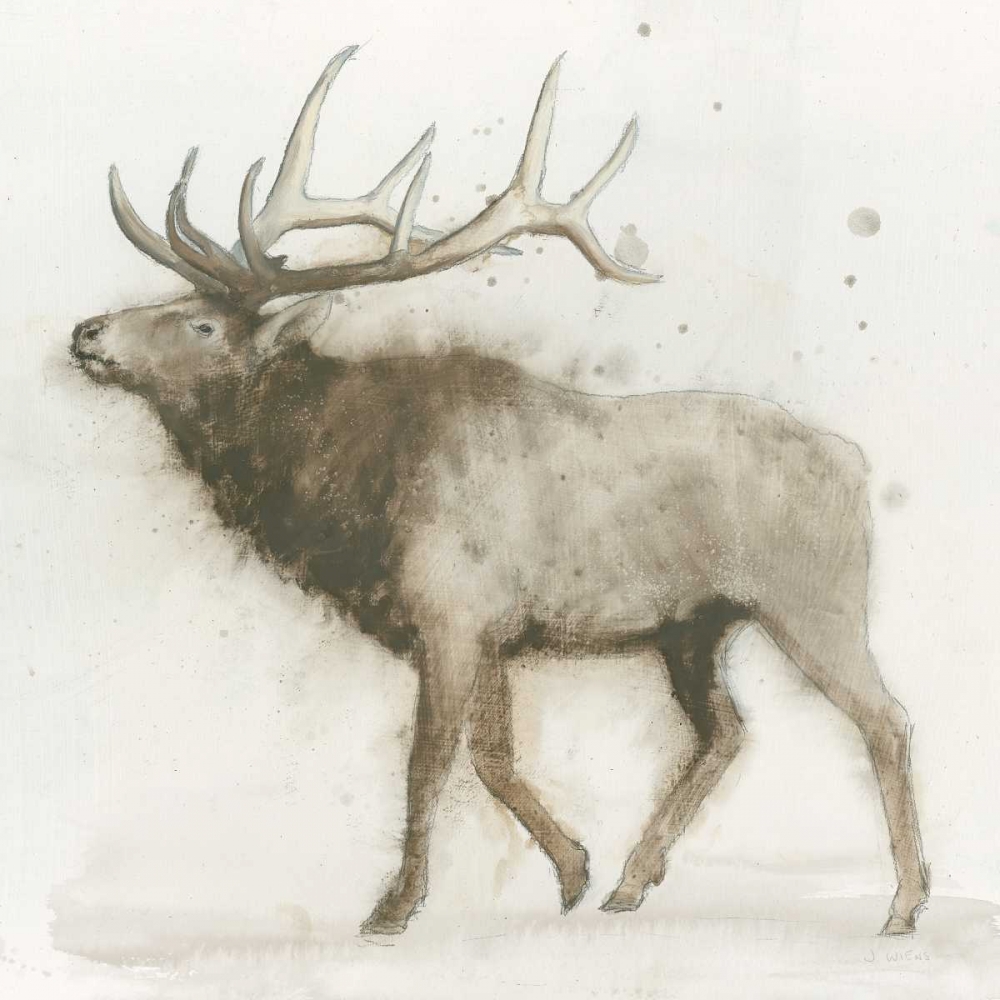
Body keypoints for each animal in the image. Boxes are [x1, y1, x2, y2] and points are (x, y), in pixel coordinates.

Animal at [71, 45, 928, 937]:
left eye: (202, 324)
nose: (86, 332)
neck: (346, 496)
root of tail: (854, 464)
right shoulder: (493, 633)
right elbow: (491, 757)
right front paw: (574, 869)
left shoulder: (452, 611)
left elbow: (428, 763)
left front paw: (394, 906)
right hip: (694, 626)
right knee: (726, 732)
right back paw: (633, 880)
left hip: (812, 596)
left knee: (886, 717)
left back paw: (904, 903)